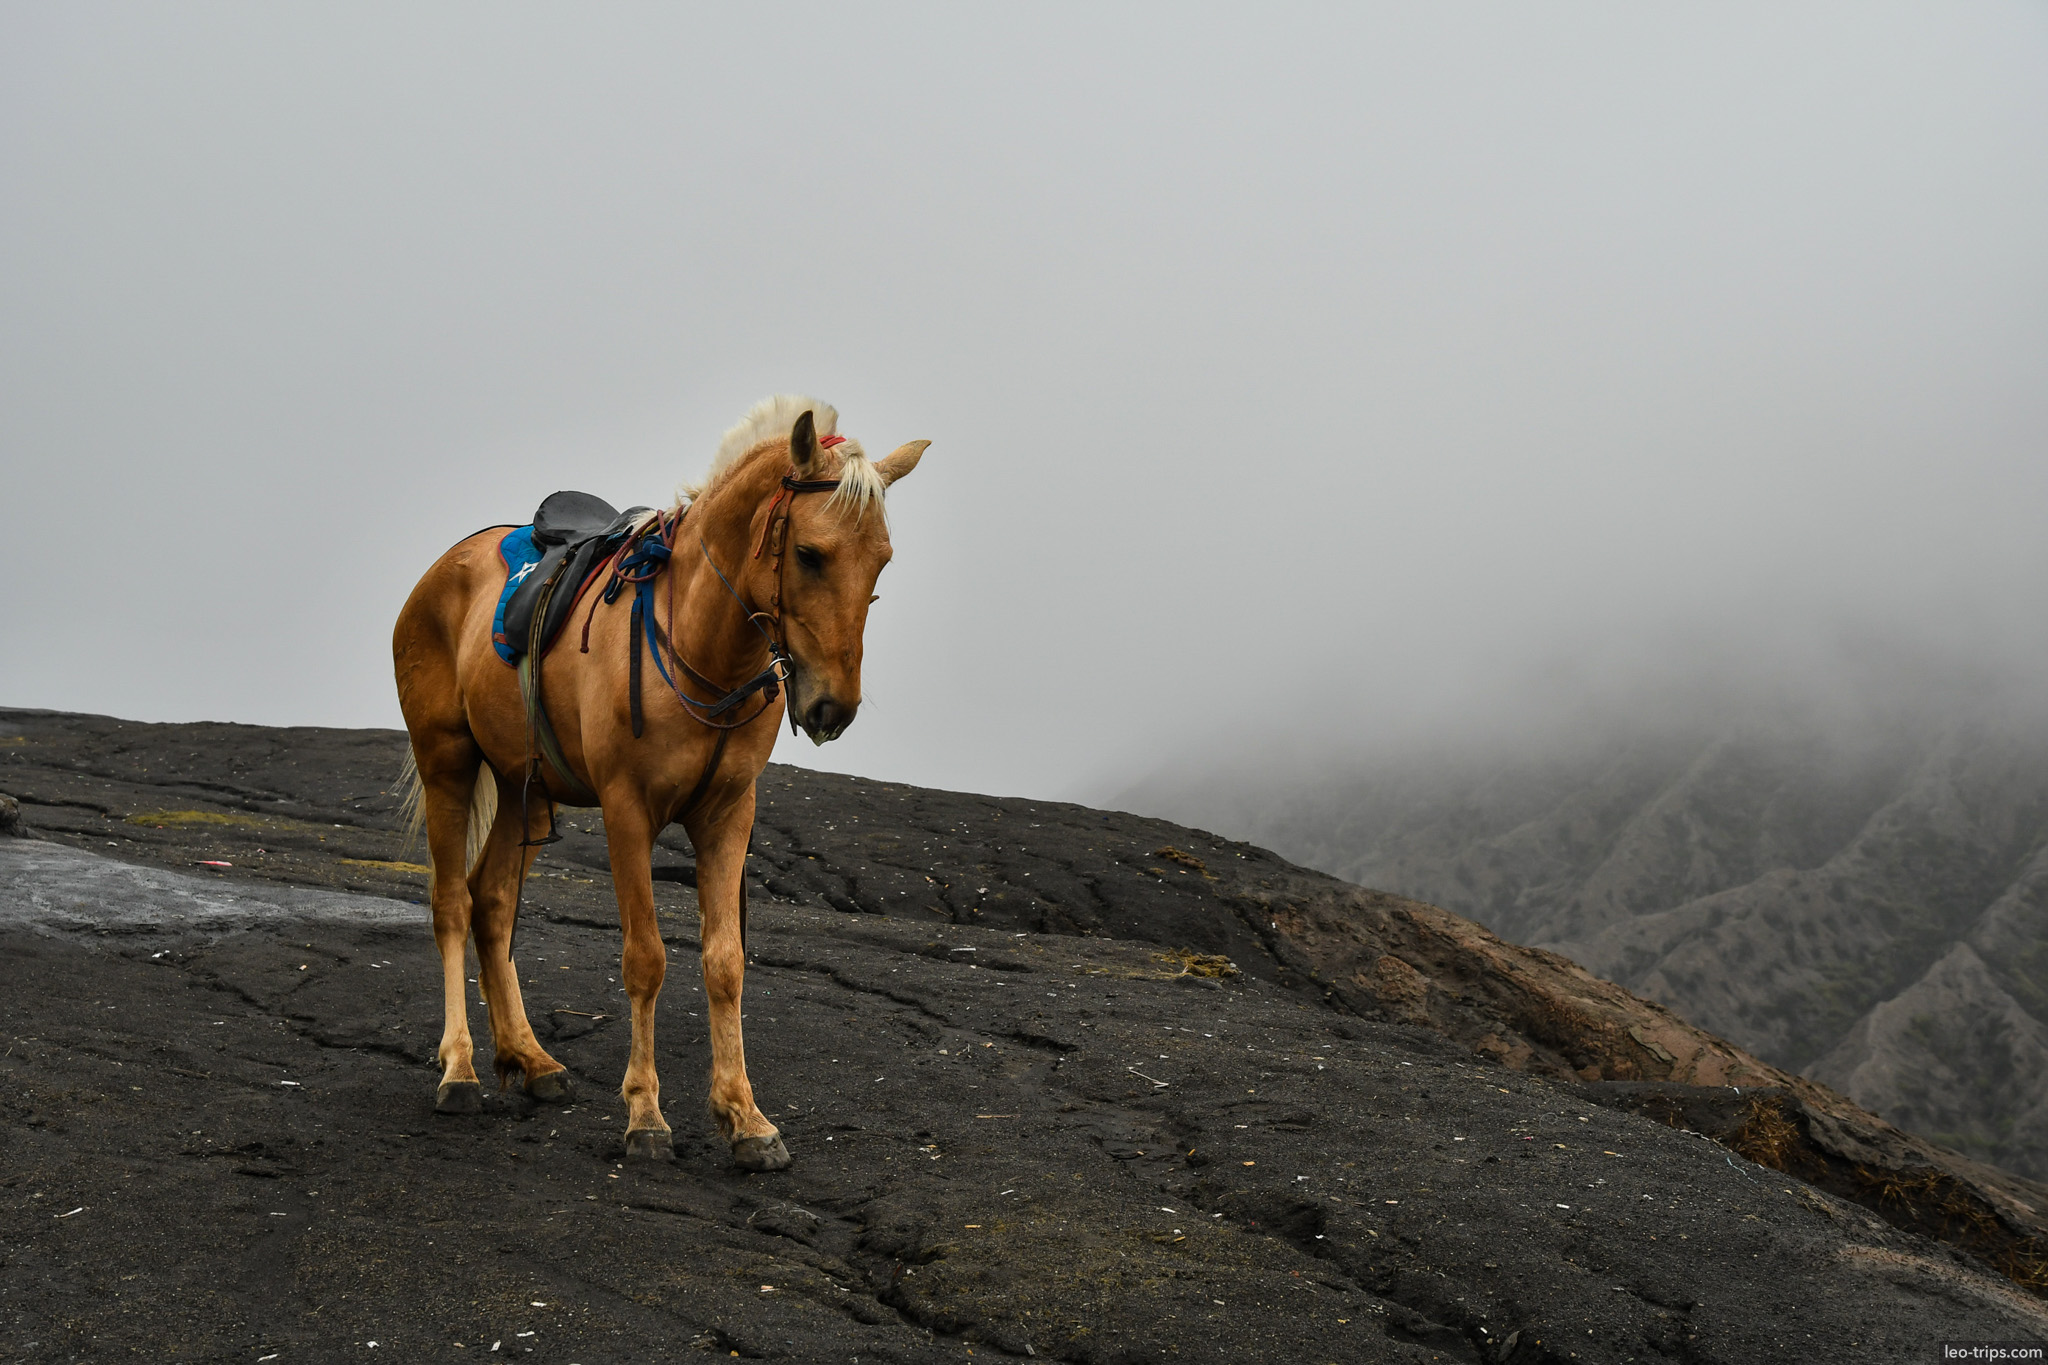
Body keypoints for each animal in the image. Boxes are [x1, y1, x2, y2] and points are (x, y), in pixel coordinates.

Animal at [392, 395, 927, 1169]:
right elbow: (645, 959)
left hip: (529, 791)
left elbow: (725, 962)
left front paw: (744, 1116)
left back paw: (531, 1058)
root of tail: (443, 568)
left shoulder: (729, 814)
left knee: (491, 902)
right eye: (809, 553)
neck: (702, 643)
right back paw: (459, 1069)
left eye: (881, 560)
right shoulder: (627, 811)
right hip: (448, 764)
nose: (833, 707)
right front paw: (645, 1115)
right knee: (451, 905)